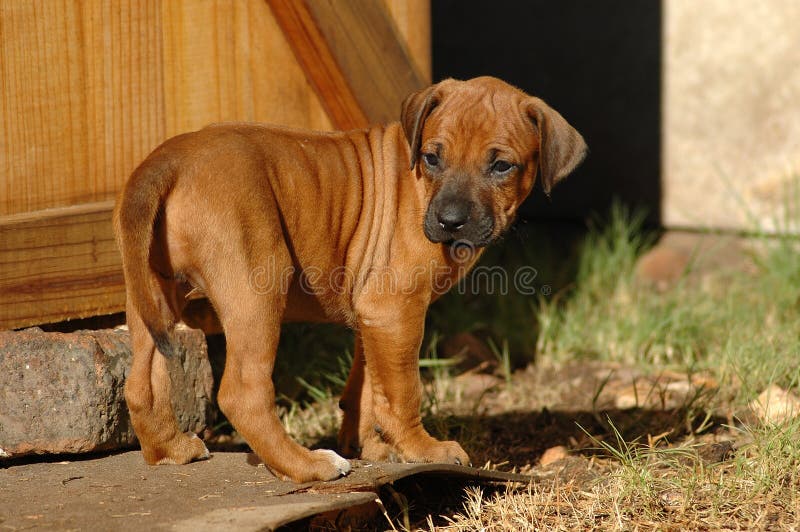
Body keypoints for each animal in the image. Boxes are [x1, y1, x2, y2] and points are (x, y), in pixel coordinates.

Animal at [112, 77, 584, 484]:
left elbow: (369, 385)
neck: (417, 187)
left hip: (152, 294)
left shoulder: (376, 317)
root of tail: (168, 158)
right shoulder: (395, 310)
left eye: (502, 166)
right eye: (432, 158)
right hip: (257, 290)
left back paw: (171, 449)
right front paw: (422, 449)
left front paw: (373, 446)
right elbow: (401, 391)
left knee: (141, 383)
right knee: (243, 393)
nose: (449, 222)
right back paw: (307, 465)